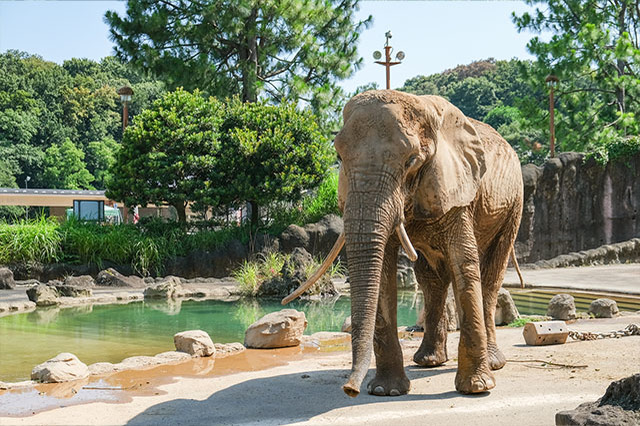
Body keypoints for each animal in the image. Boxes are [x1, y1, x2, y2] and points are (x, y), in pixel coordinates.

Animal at [282, 90, 524, 400]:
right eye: (338, 156)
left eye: (411, 160)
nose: (349, 389)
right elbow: (384, 272)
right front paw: (385, 391)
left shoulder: (458, 190)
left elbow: (465, 262)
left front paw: (477, 389)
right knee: (431, 280)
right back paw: (428, 361)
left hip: (513, 204)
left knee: (490, 277)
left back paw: (492, 364)